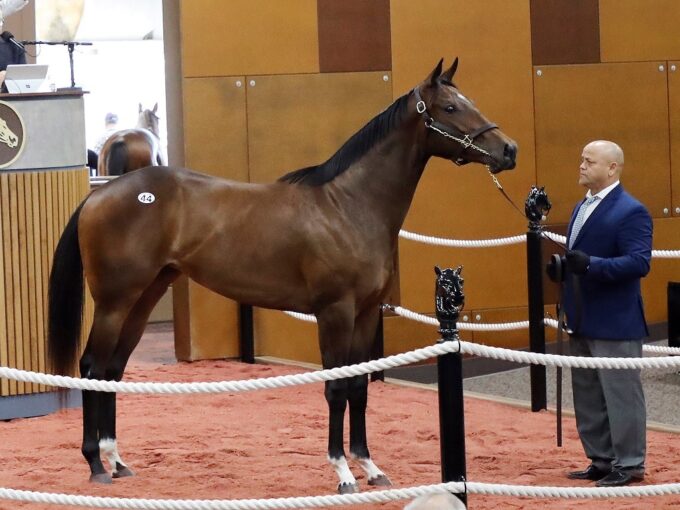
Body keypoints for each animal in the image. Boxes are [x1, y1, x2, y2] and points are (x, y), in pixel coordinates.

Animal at [47, 57, 516, 492]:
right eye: (451, 107)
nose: (508, 149)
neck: (349, 205)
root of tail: (102, 192)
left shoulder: (367, 313)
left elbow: (360, 387)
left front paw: (370, 467)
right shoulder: (335, 313)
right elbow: (336, 388)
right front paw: (343, 472)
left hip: (144, 298)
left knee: (113, 369)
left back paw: (116, 460)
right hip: (115, 302)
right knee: (92, 367)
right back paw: (94, 464)